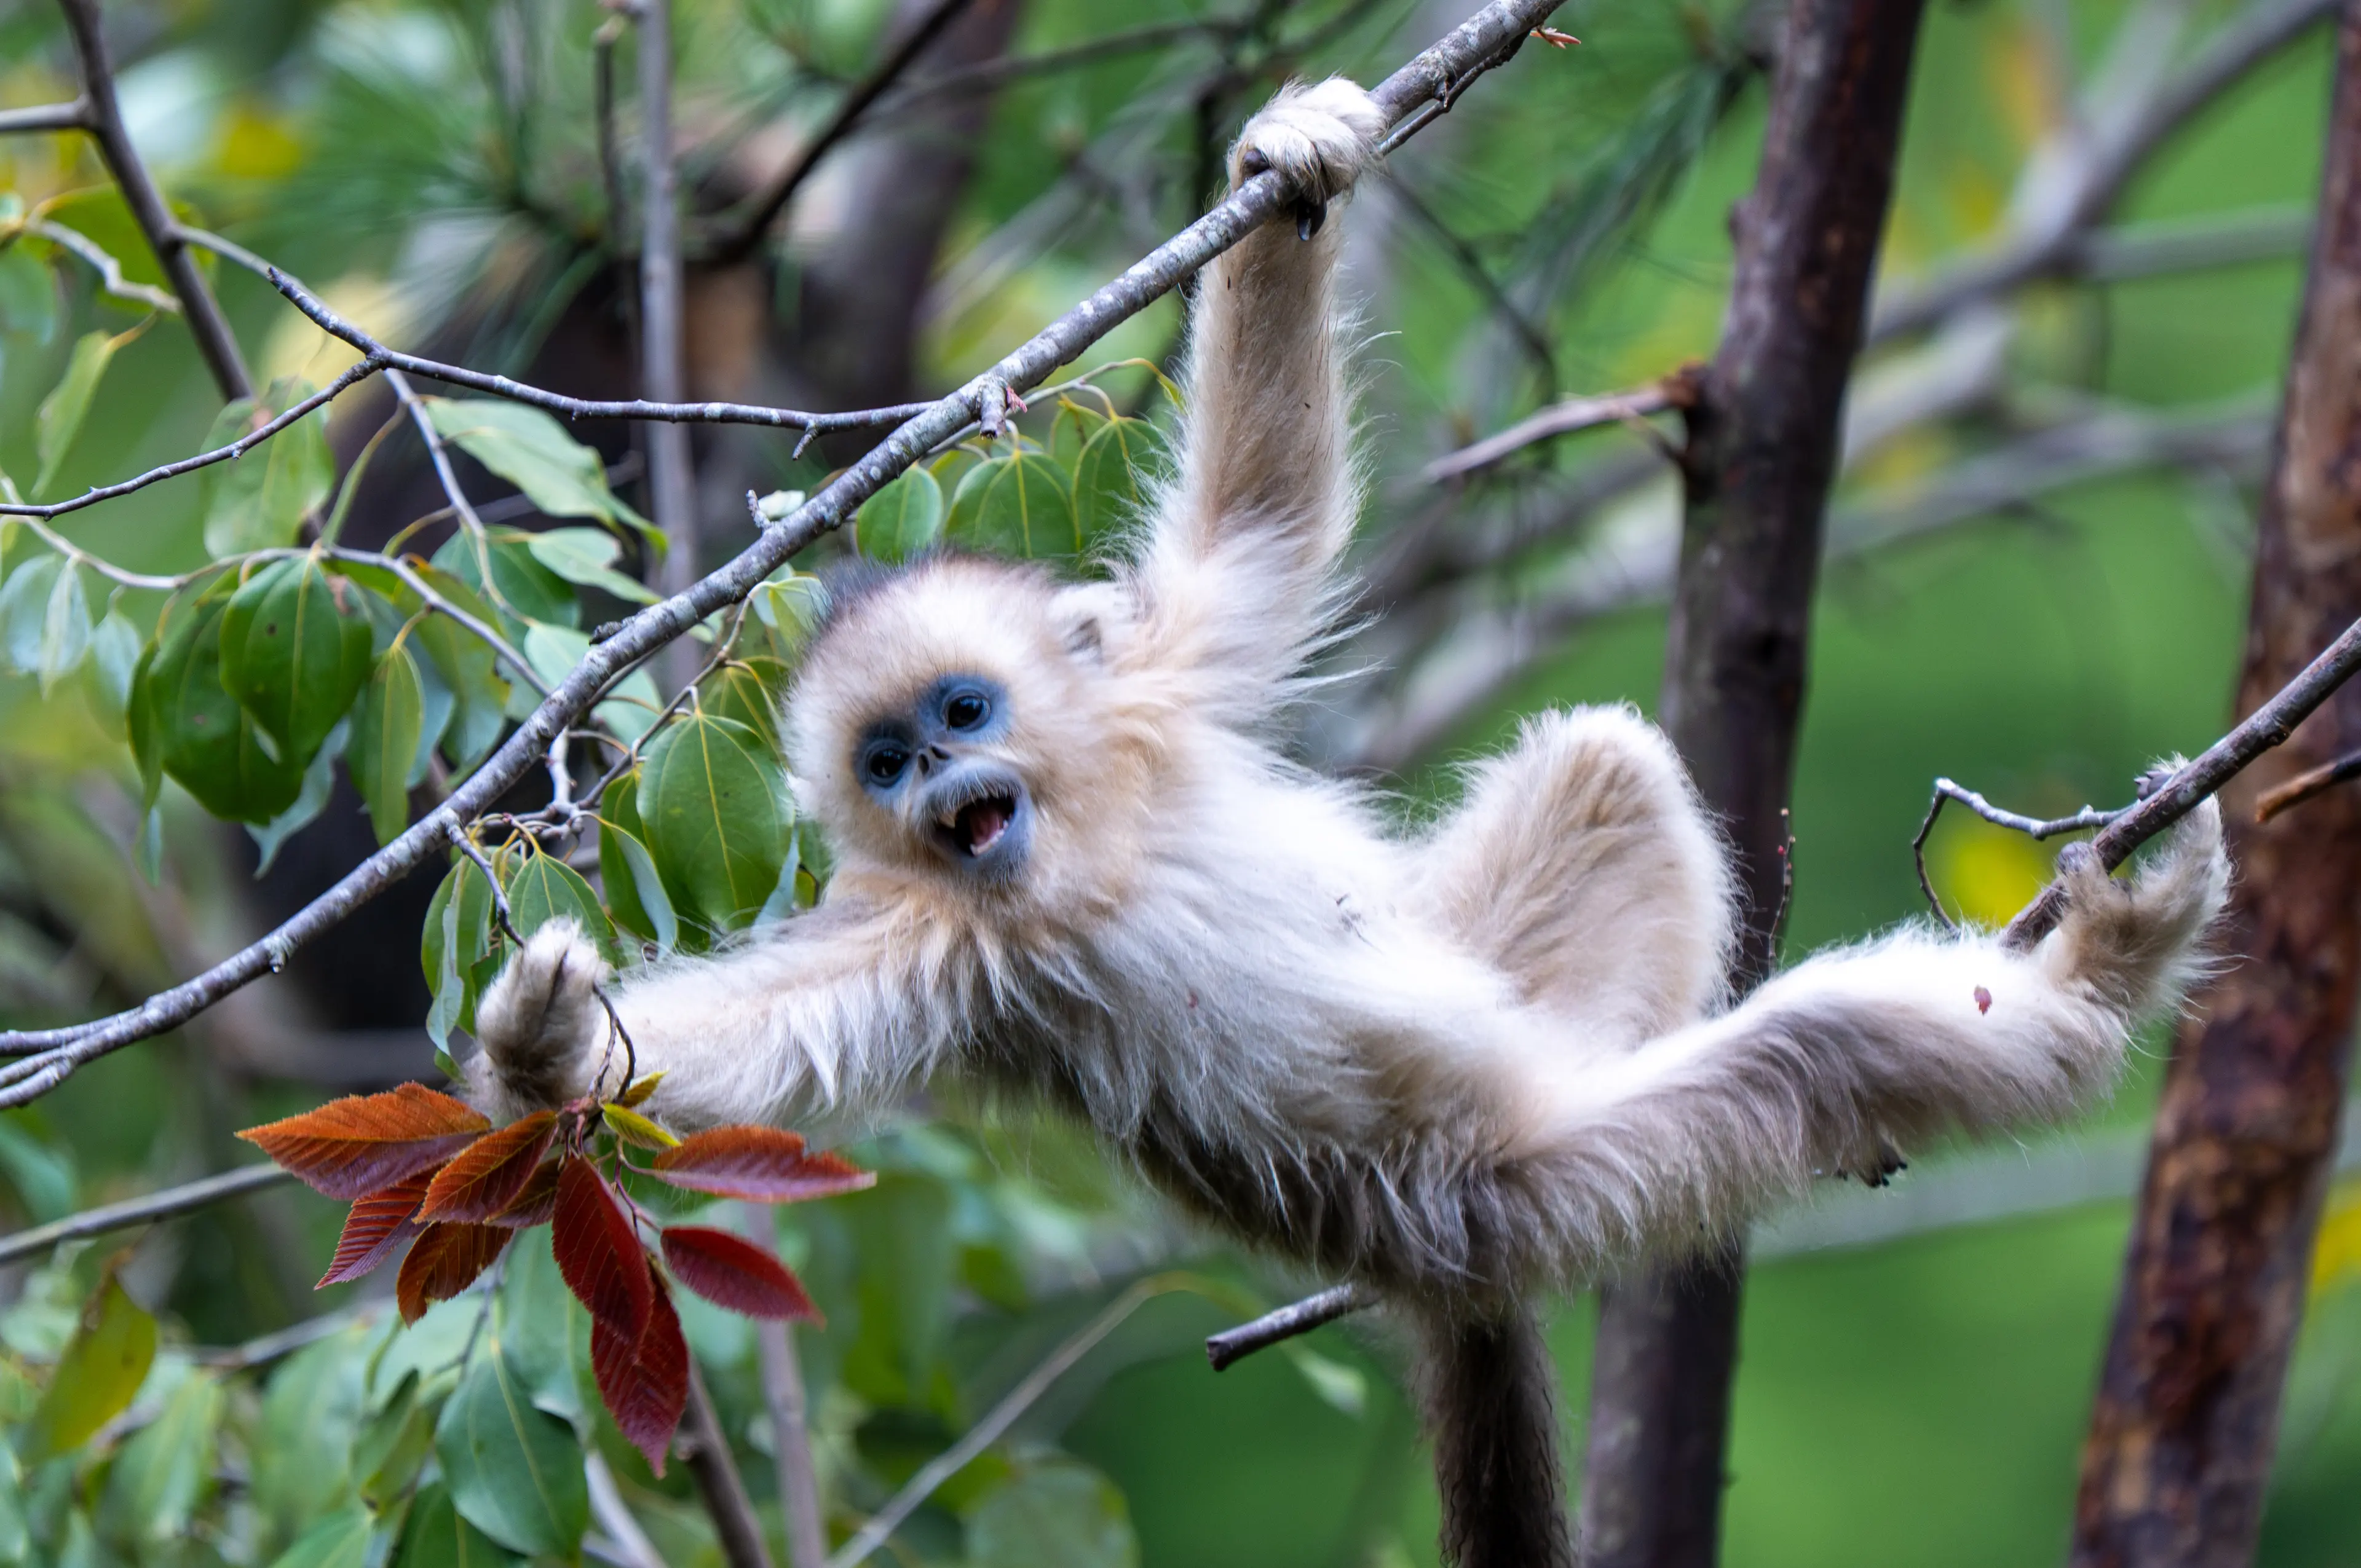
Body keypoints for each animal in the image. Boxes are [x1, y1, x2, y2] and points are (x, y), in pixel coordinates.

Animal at [466, 78, 2231, 1565]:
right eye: (884, 762)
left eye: (960, 717)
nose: (943, 792)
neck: (1096, 847)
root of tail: (1440, 1282)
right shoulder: (937, 949)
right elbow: (741, 1051)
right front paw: (541, 1050)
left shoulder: (1159, 689)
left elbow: (1262, 524)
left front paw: (1291, 165)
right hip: (1517, 1187)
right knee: (1817, 1053)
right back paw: (2104, 974)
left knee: (1606, 761)